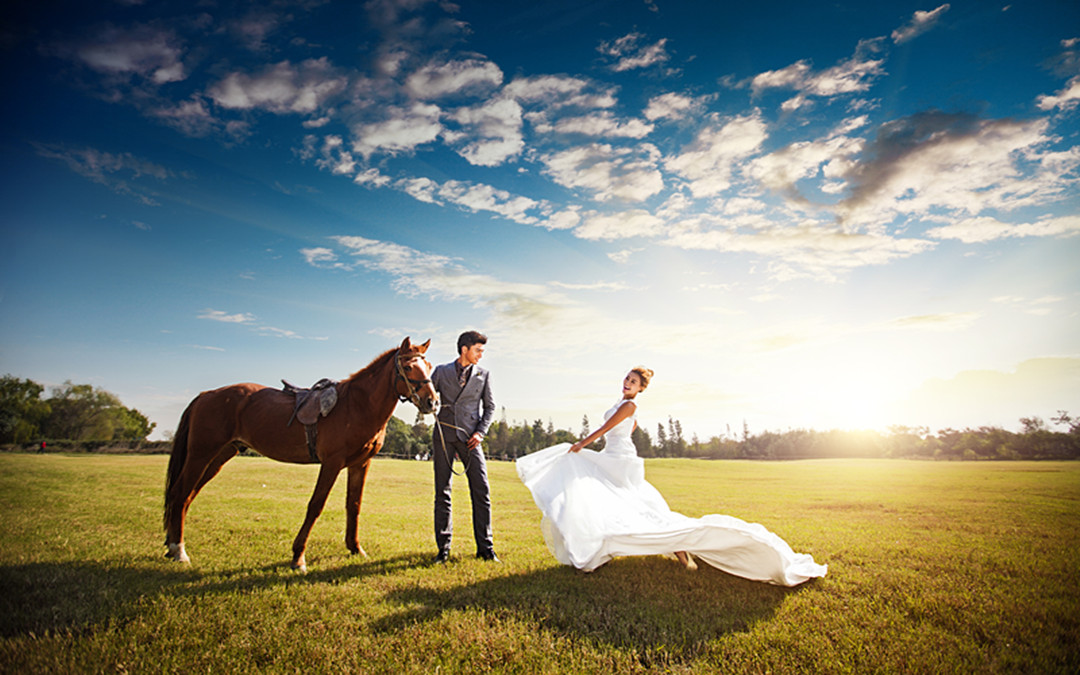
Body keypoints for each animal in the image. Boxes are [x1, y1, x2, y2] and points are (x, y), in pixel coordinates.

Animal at [162, 334, 436, 570]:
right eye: (408, 367)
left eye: (429, 366)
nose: (432, 402)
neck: (356, 405)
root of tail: (205, 395)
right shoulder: (332, 463)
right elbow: (316, 505)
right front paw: (298, 556)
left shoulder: (360, 464)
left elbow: (354, 505)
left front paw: (355, 548)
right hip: (200, 454)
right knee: (180, 494)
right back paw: (179, 550)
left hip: (219, 456)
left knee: (188, 496)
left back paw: (172, 546)